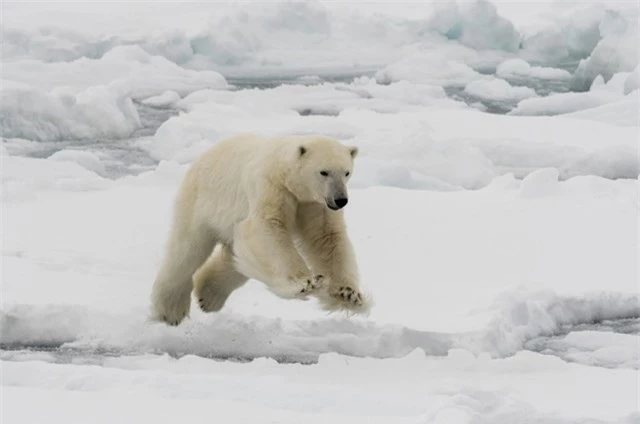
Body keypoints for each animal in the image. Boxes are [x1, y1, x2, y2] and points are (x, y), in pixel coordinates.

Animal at [151, 132, 370, 324]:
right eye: (324, 172)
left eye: (346, 172)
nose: (340, 200)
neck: (287, 176)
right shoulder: (271, 187)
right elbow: (267, 228)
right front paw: (304, 283)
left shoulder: (315, 204)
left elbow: (326, 239)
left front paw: (348, 294)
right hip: (201, 201)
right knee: (187, 251)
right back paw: (170, 311)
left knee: (235, 258)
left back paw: (208, 296)